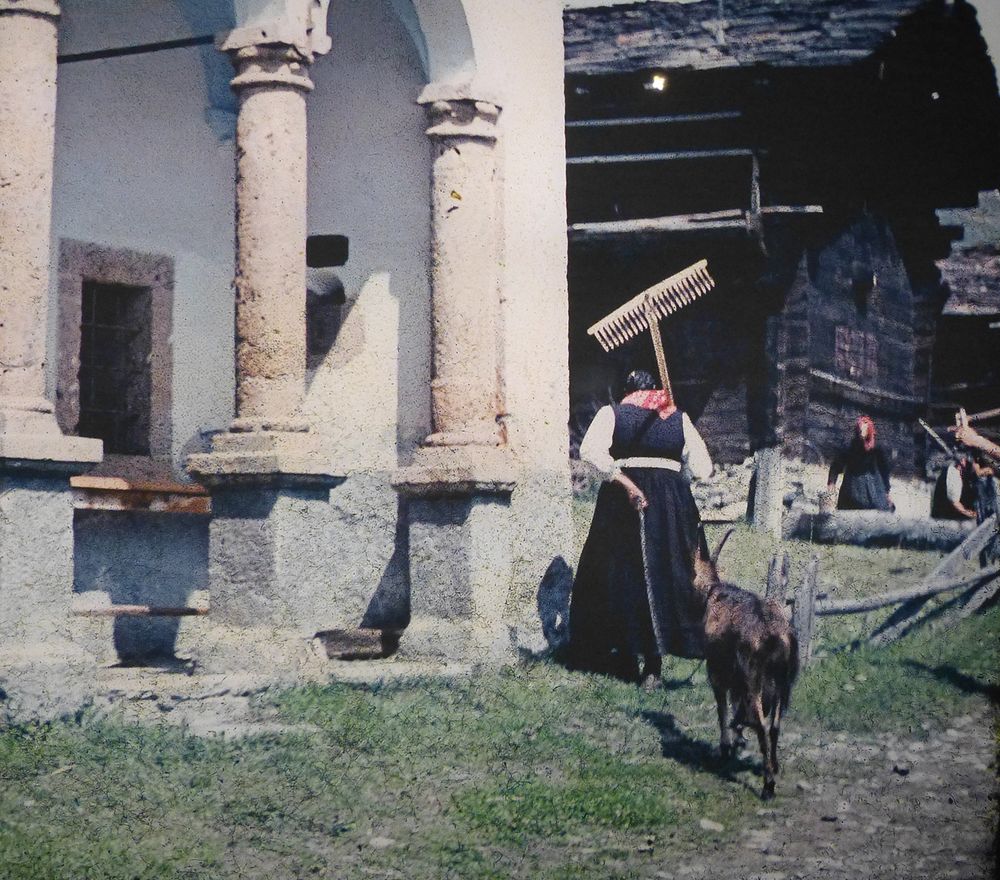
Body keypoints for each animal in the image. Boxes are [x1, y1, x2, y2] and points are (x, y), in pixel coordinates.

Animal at [692, 532, 800, 800]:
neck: (714, 593)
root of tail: (776, 636)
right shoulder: (735, 674)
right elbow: (736, 705)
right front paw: (738, 736)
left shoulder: (717, 670)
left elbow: (723, 709)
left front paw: (726, 748)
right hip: (782, 680)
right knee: (774, 725)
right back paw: (774, 766)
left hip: (755, 677)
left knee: (761, 725)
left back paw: (768, 786)